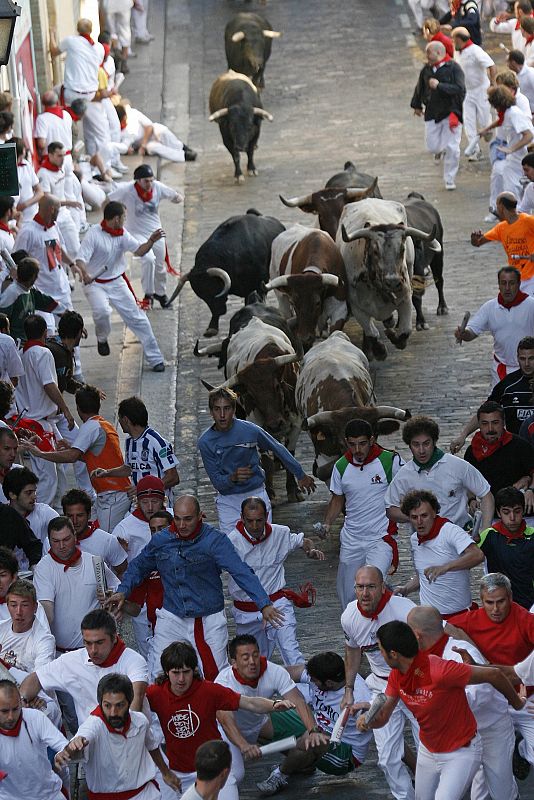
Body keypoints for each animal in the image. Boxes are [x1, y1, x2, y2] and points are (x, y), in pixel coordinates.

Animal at [214, 318, 306, 500]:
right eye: (251, 394)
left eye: (277, 386)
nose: (275, 424)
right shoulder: (256, 424)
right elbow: (266, 459)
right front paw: (269, 492)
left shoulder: (296, 423)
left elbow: (289, 454)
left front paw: (294, 490)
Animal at [340, 198, 440, 360]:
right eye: (375, 251)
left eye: (402, 249)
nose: (393, 281)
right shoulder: (356, 306)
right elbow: (371, 332)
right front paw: (379, 350)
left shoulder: (405, 297)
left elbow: (405, 331)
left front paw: (393, 335)